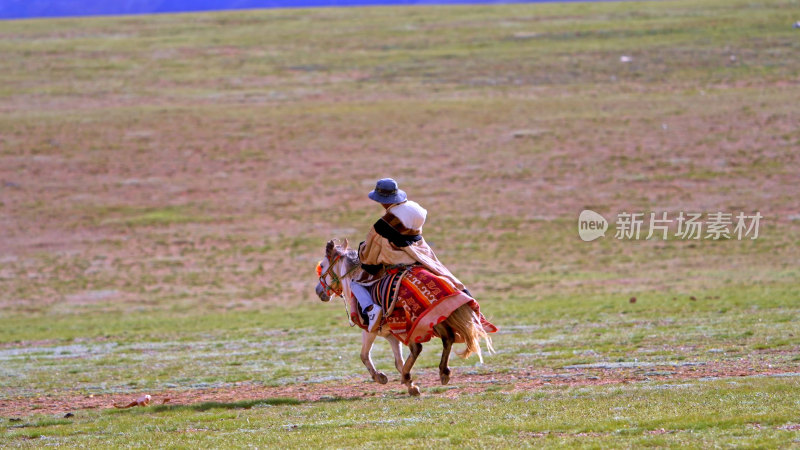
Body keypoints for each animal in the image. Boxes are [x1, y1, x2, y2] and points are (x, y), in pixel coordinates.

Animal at [314, 237, 494, 396]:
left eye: (322, 265)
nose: (318, 291)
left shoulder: (371, 330)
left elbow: (364, 355)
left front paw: (381, 377)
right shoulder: (390, 334)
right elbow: (398, 362)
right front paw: (411, 387)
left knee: (419, 347)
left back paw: (421, 374)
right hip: (436, 317)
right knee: (447, 339)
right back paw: (443, 373)